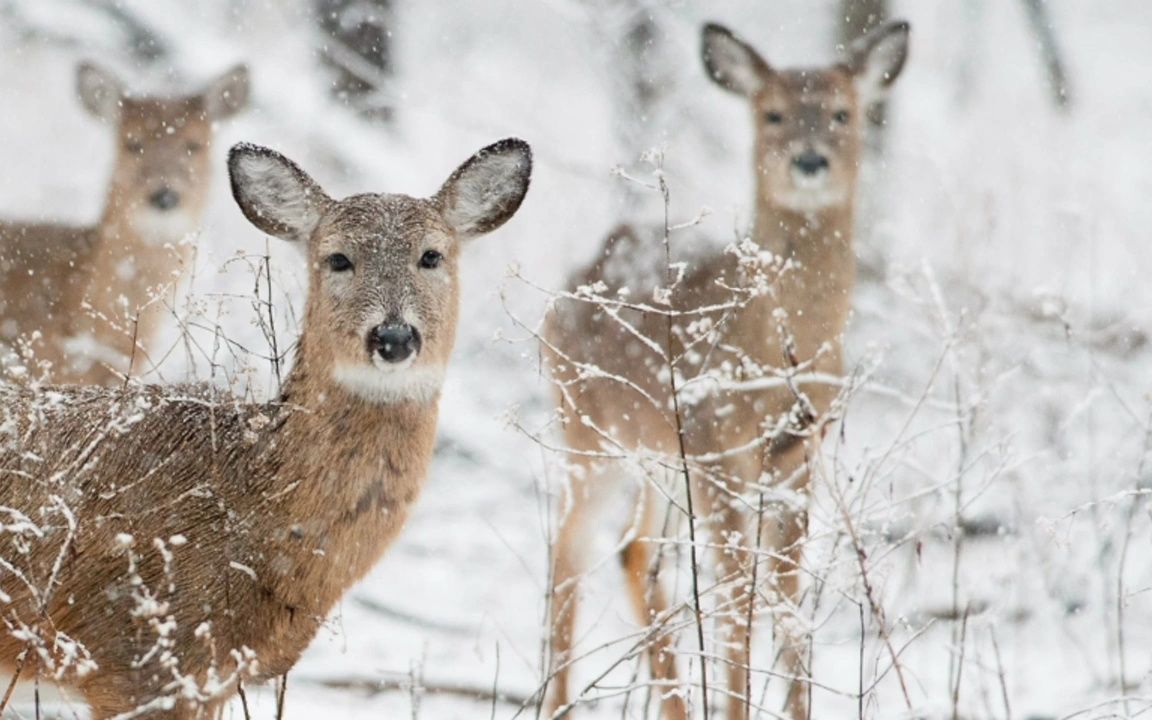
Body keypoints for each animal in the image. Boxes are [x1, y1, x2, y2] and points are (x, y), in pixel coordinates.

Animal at [543, 19, 912, 714]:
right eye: (772, 114)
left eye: (841, 112)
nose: (810, 161)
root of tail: (580, 273)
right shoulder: (715, 447)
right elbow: (737, 602)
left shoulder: (798, 458)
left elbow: (787, 605)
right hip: (588, 434)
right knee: (567, 553)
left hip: (658, 455)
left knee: (632, 552)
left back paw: (676, 704)